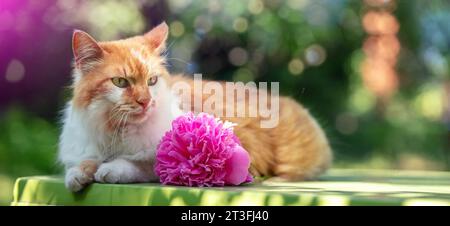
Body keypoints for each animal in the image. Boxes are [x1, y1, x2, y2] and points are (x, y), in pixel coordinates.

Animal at [58, 22, 332, 191]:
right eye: (120, 82)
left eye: (152, 81)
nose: (146, 101)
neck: (115, 129)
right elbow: (80, 165)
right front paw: (78, 175)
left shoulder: (168, 164)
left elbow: (135, 165)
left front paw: (109, 169)